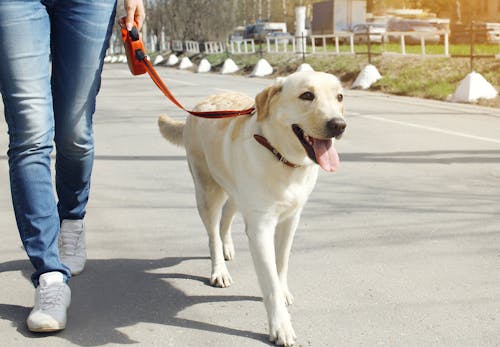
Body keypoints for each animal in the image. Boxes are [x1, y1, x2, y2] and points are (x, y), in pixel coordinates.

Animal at [158, 71, 346, 347]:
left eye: (339, 96)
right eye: (307, 95)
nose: (338, 125)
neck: (281, 157)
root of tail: (199, 105)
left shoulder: (291, 219)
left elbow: (281, 264)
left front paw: (283, 290)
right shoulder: (261, 228)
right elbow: (269, 281)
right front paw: (281, 326)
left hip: (235, 193)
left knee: (225, 219)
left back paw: (227, 247)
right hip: (207, 191)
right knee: (212, 233)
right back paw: (219, 269)